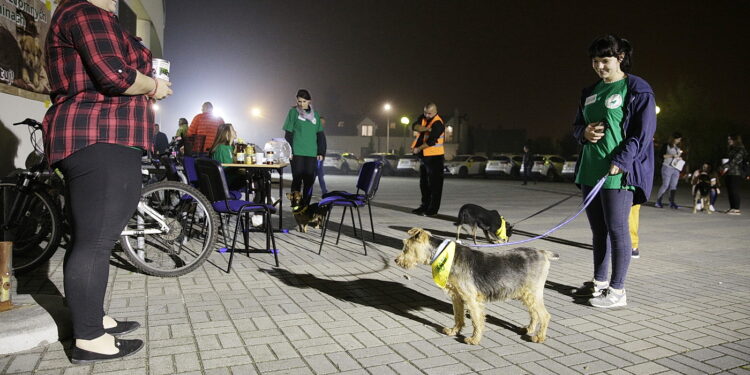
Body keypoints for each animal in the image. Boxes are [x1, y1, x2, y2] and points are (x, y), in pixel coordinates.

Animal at [394, 228, 560, 346]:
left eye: (406, 247)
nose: (396, 260)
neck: (441, 254)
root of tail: (544, 253)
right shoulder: (457, 297)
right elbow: (458, 316)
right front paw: (454, 331)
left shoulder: (471, 299)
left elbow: (476, 320)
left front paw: (474, 339)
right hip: (526, 294)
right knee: (534, 314)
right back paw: (528, 329)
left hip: (532, 293)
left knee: (544, 315)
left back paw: (539, 337)